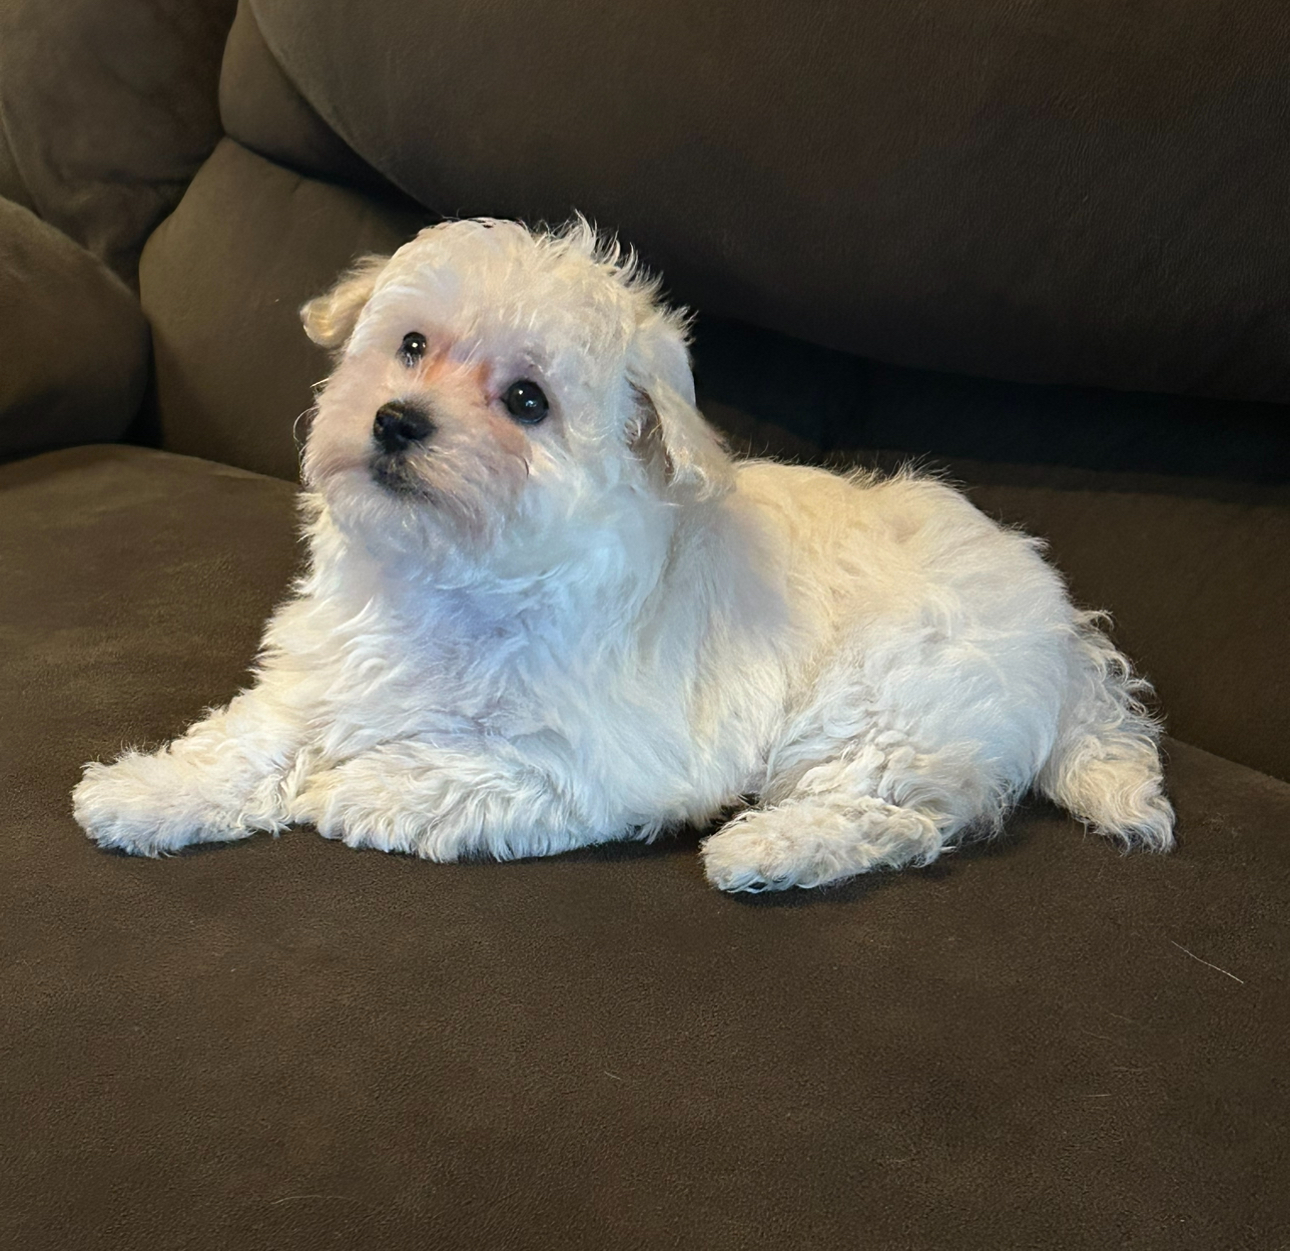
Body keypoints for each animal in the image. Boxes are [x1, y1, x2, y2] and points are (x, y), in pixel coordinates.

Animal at [73, 219, 1181, 892]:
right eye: (412, 345)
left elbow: (464, 769)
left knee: (897, 819)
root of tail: (1061, 627)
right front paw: (150, 792)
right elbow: (251, 737)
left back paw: (770, 847)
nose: (395, 419)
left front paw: (360, 786)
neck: (451, 575)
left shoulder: (592, 760)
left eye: (527, 401)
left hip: (892, 703)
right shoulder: (328, 670)